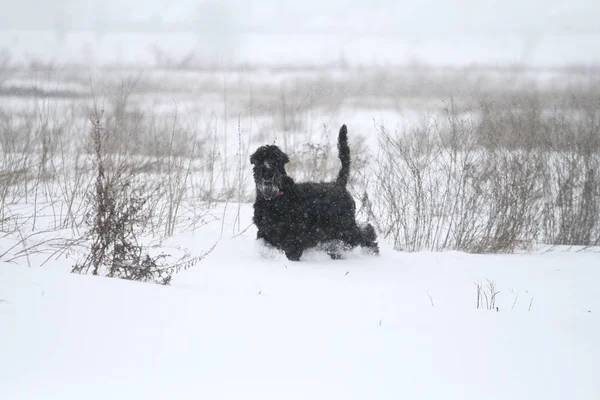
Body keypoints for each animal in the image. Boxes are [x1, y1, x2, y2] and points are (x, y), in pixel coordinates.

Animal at [251, 126, 378, 262]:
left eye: (276, 160)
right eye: (259, 161)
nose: (267, 173)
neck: (275, 199)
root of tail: (339, 184)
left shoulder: (293, 237)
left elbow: (291, 252)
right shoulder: (264, 232)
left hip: (346, 228)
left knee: (366, 235)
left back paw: (372, 253)